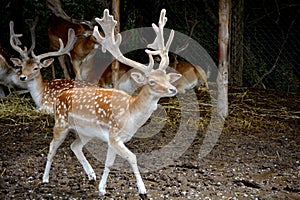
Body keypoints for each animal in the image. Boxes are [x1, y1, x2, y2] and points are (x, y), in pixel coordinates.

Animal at [42, 8, 180, 198]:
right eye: (151, 81)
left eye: (166, 77)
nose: (172, 89)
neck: (131, 113)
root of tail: (59, 97)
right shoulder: (114, 135)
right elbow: (132, 157)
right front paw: (142, 190)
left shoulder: (114, 139)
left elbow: (109, 163)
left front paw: (102, 189)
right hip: (61, 123)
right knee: (51, 147)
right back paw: (45, 178)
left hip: (86, 132)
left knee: (74, 146)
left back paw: (91, 175)